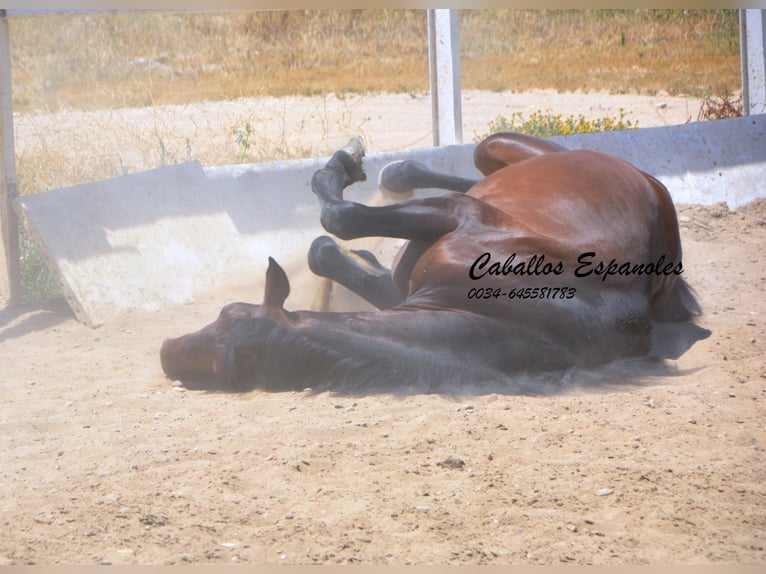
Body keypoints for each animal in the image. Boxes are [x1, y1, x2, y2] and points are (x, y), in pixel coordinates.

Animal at [159, 133, 712, 394]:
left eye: (228, 315)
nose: (166, 353)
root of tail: (651, 182)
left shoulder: (458, 217)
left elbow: (339, 220)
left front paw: (340, 169)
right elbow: (335, 251)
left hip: (501, 151)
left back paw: (360, 164)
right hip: (498, 161)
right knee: (452, 174)